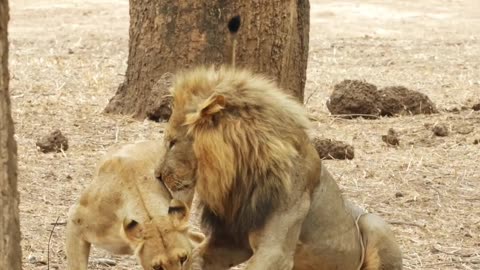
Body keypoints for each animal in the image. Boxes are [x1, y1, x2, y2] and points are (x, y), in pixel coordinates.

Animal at [157, 66, 402, 268]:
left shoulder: (276, 251)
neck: (241, 177)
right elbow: (196, 256)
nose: (157, 175)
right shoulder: (233, 241)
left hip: (375, 224)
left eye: (172, 142)